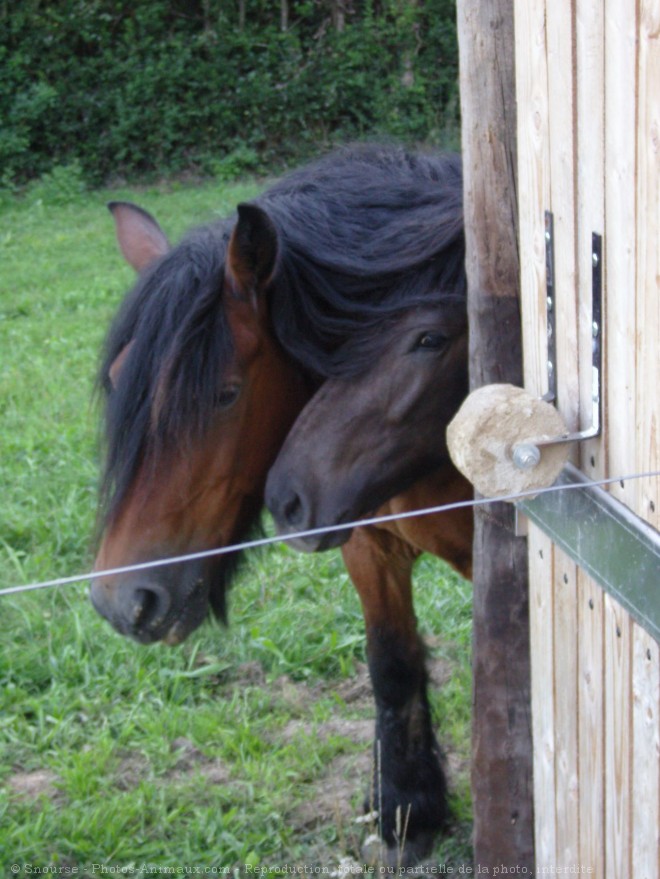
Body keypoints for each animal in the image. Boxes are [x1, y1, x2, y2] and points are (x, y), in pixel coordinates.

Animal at [91, 146, 470, 868]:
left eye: (224, 393)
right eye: (120, 379)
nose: (121, 602)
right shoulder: (369, 546)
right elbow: (393, 664)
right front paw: (407, 812)